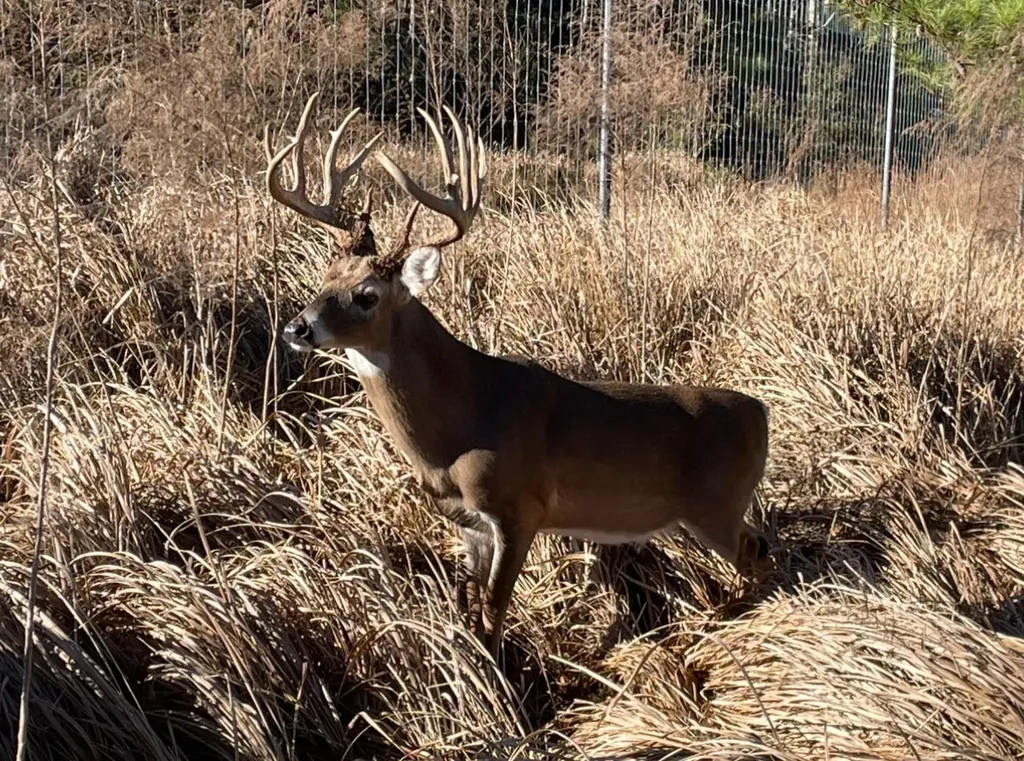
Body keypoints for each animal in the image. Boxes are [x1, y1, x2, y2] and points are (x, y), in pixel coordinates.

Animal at [266, 93, 772, 659]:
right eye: (325, 278)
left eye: (367, 295)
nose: (297, 327)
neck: (458, 429)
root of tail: (761, 411)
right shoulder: (468, 522)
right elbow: (467, 607)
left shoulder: (520, 506)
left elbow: (493, 609)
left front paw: (503, 671)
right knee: (761, 546)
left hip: (717, 505)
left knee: (758, 554)